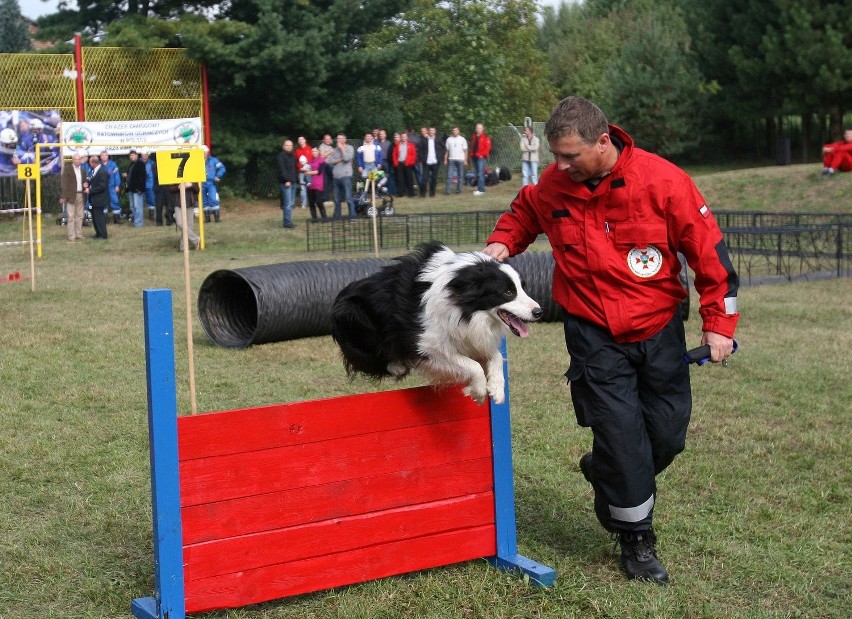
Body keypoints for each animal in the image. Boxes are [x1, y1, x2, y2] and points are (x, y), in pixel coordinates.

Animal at [330, 240, 544, 404]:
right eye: (508, 292)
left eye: (522, 288)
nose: (539, 312)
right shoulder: (426, 344)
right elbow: (471, 365)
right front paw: (478, 391)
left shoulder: (472, 335)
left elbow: (496, 356)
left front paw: (497, 389)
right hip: (354, 314)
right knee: (367, 357)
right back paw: (397, 365)